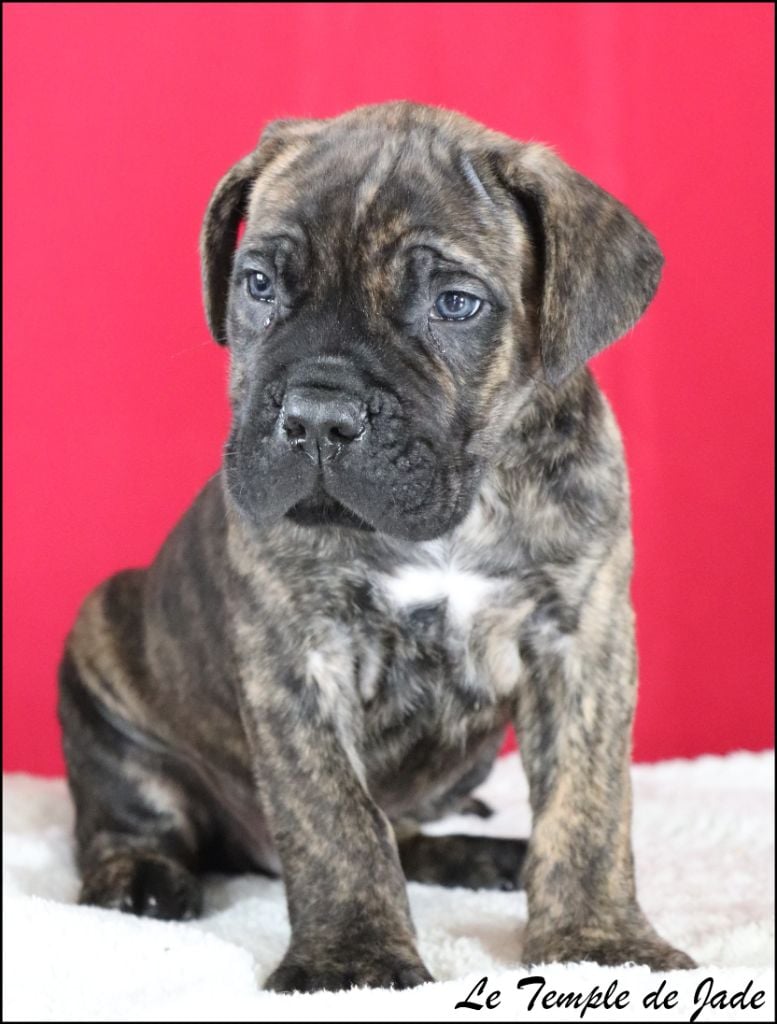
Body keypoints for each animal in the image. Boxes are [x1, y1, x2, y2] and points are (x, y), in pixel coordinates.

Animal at [57, 101, 696, 991]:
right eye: (258, 285)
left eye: (455, 305)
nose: (319, 416)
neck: (460, 512)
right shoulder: (298, 655)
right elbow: (336, 819)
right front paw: (352, 959)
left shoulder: (581, 644)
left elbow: (588, 805)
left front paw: (598, 941)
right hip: (103, 641)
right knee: (124, 817)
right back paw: (141, 877)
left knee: (411, 830)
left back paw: (479, 856)